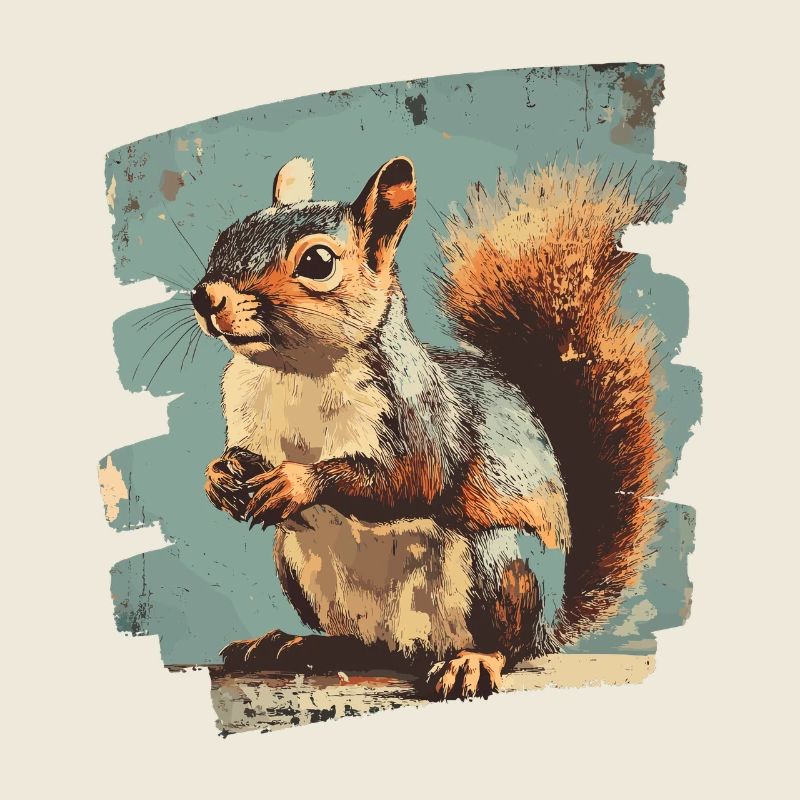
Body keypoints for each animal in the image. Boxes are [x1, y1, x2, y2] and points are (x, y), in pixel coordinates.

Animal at [191, 154, 666, 699]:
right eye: (225, 235)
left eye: (318, 263)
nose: (206, 297)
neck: (294, 371)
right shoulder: (246, 418)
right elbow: (240, 456)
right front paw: (218, 476)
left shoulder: (421, 417)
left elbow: (410, 477)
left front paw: (295, 482)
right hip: (298, 566)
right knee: (361, 645)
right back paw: (294, 644)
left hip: (499, 568)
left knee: (510, 644)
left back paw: (473, 661)